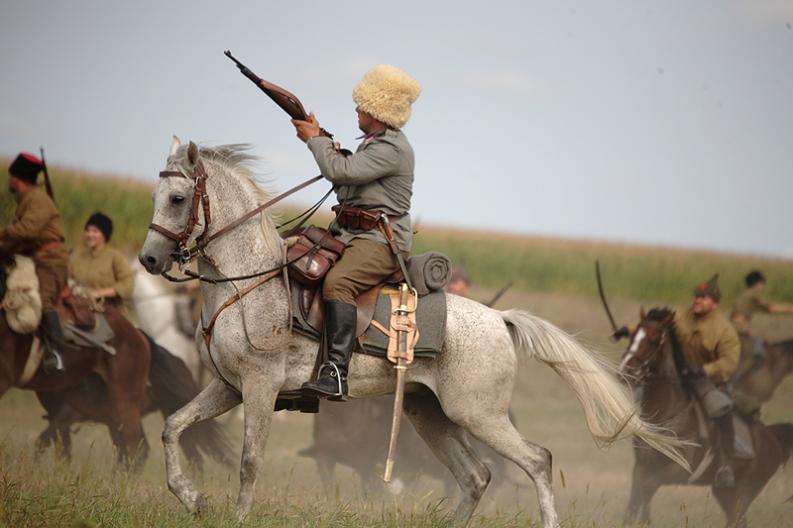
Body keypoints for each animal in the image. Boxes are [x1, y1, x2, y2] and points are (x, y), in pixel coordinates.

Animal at [139, 139, 684, 528]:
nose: (148, 259)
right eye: (156, 197)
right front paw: (191, 497)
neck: (247, 281)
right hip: (430, 414)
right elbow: (173, 427)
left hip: (477, 414)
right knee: (476, 475)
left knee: (537, 460)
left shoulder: (259, 387)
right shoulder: (227, 387)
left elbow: (250, 460)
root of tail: (500, 319)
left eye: (178, 198)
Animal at [620, 308, 792, 524]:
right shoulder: (642, 466)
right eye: (633, 335)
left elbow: (647, 489)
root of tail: (773, 439)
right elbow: (634, 502)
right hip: (725, 494)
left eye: (653, 338)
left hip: (744, 494)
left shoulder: (678, 470)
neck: (667, 413)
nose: (625, 370)